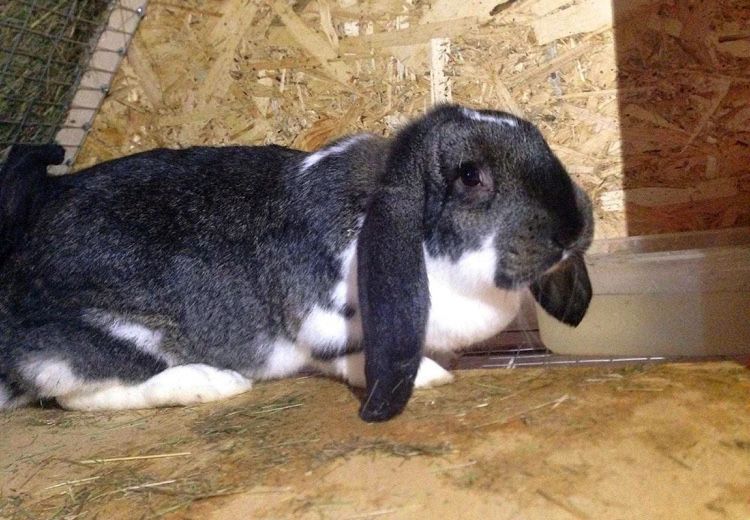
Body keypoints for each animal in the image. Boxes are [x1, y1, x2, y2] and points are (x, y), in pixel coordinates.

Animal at [0, 104, 593, 422]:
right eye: (470, 176)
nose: (573, 229)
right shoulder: (326, 326)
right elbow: (349, 358)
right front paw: (429, 375)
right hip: (115, 342)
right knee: (82, 394)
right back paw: (212, 384)